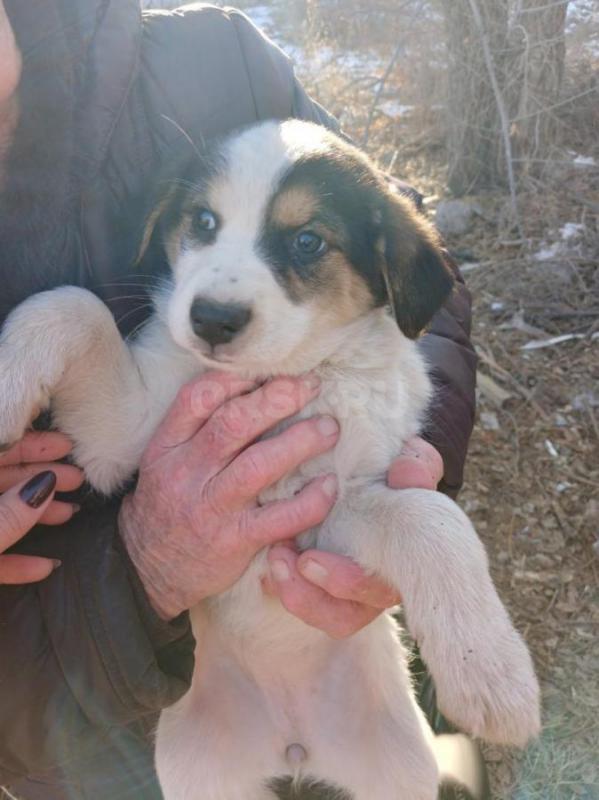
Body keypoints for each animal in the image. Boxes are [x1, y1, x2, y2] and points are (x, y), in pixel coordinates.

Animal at [0, 120, 544, 800]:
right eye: (203, 221)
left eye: (308, 241)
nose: (211, 319)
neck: (274, 377)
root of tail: (294, 745)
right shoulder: (122, 436)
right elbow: (72, 304)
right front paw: (6, 388)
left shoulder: (325, 510)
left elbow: (430, 515)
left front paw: (494, 676)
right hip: (202, 777)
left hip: (398, 769)